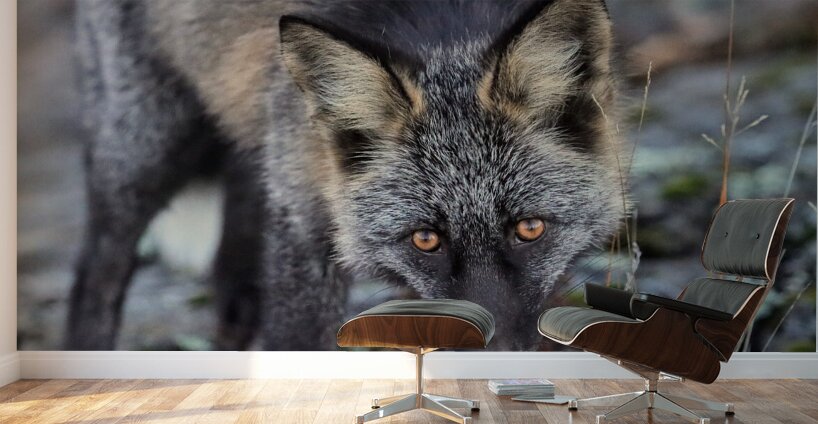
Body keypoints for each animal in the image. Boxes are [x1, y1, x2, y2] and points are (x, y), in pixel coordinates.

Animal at [67, 0, 624, 351]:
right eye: (425, 239)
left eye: (529, 229)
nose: (501, 355)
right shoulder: (302, 225)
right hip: (144, 153)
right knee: (95, 277)